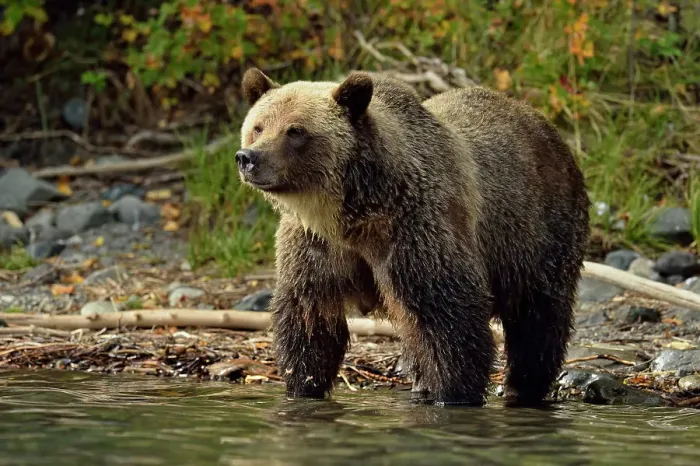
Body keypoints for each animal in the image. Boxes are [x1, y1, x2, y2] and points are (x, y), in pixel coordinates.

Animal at [236, 67, 590, 406]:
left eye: (295, 130)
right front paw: (303, 384)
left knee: (538, 317)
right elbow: (309, 315)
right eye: (258, 126)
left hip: (539, 231)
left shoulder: (417, 229)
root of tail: (542, 122)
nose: (248, 157)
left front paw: (454, 393)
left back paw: (525, 385)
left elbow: (447, 314)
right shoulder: (317, 245)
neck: (353, 214)